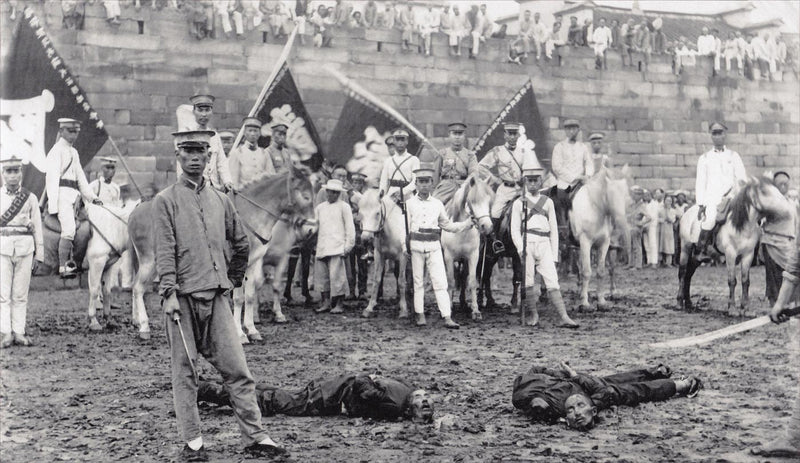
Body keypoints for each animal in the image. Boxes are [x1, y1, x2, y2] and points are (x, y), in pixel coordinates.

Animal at [84, 203, 138, 334]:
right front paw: (94, 322)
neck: (113, 227)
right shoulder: (97, 263)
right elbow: (94, 291)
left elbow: (106, 291)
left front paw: (109, 320)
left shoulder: (108, 266)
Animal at [360, 188, 410, 320]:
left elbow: (401, 281)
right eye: (360, 213)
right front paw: (369, 307)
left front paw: (404, 309)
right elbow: (377, 279)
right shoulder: (379, 255)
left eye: (377, 213)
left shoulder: (403, 257)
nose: (366, 239)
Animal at [440, 172, 496, 320]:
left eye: (489, 201)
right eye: (474, 201)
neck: (461, 230)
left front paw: (475, 310)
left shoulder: (473, 257)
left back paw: (463, 303)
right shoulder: (449, 257)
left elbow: (471, 281)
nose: (487, 227)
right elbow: (451, 280)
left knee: (464, 277)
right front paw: (449, 307)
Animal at [568, 166, 632, 312]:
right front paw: (585, 304)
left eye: (627, 197)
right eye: (611, 195)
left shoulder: (604, 244)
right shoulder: (585, 243)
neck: (595, 208)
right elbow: (587, 272)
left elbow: (601, 271)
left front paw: (602, 302)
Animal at [676, 176, 792, 318]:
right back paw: (679, 302)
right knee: (682, 273)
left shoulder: (748, 255)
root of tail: (686, 214)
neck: (742, 226)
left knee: (689, 274)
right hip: (685, 249)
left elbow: (745, 281)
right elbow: (732, 281)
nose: (786, 208)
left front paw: (746, 308)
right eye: (764, 192)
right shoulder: (730, 254)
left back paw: (688, 302)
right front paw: (732, 308)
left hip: (697, 256)